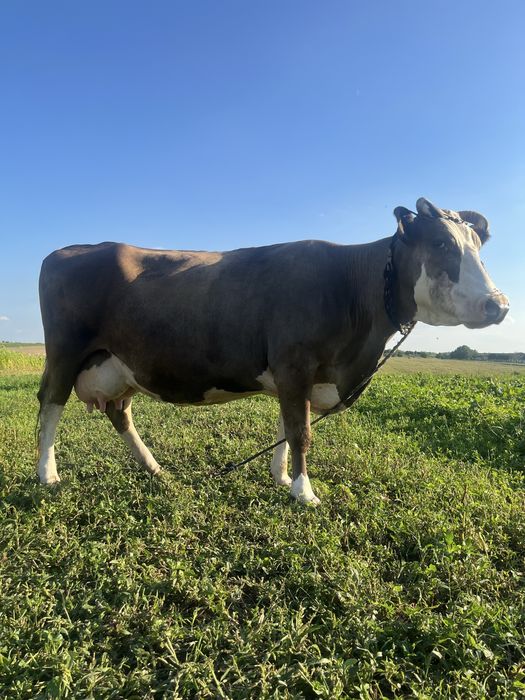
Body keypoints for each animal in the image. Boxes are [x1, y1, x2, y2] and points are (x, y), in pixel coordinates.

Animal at [37, 198, 509, 504]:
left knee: (120, 413)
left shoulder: (295, 375)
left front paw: (281, 477)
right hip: (64, 352)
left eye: (477, 248)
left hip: (120, 365)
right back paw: (48, 474)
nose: (500, 304)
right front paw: (305, 492)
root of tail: (69, 250)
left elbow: (286, 425)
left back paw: (154, 467)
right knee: (50, 404)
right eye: (443, 244)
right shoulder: (294, 363)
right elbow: (301, 431)